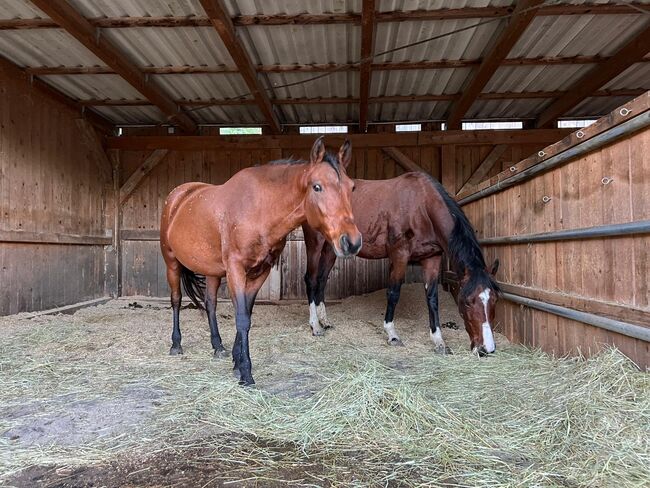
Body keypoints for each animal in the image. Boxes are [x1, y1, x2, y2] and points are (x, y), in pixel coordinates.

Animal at [158, 137, 360, 386]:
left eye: (351, 187)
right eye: (317, 186)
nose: (351, 242)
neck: (259, 209)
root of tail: (178, 195)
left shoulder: (260, 272)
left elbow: (246, 314)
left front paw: (236, 363)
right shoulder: (236, 270)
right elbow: (242, 318)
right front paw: (246, 372)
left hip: (212, 271)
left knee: (210, 304)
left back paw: (218, 346)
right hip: (171, 262)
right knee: (176, 300)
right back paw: (176, 344)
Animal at [302, 171, 496, 354]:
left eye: (494, 300)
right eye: (467, 302)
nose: (486, 349)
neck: (422, 205)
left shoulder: (432, 258)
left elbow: (432, 298)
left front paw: (439, 341)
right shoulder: (399, 255)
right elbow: (394, 293)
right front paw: (392, 334)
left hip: (330, 249)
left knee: (321, 279)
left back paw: (324, 321)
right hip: (315, 243)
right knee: (311, 279)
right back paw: (315, 326)